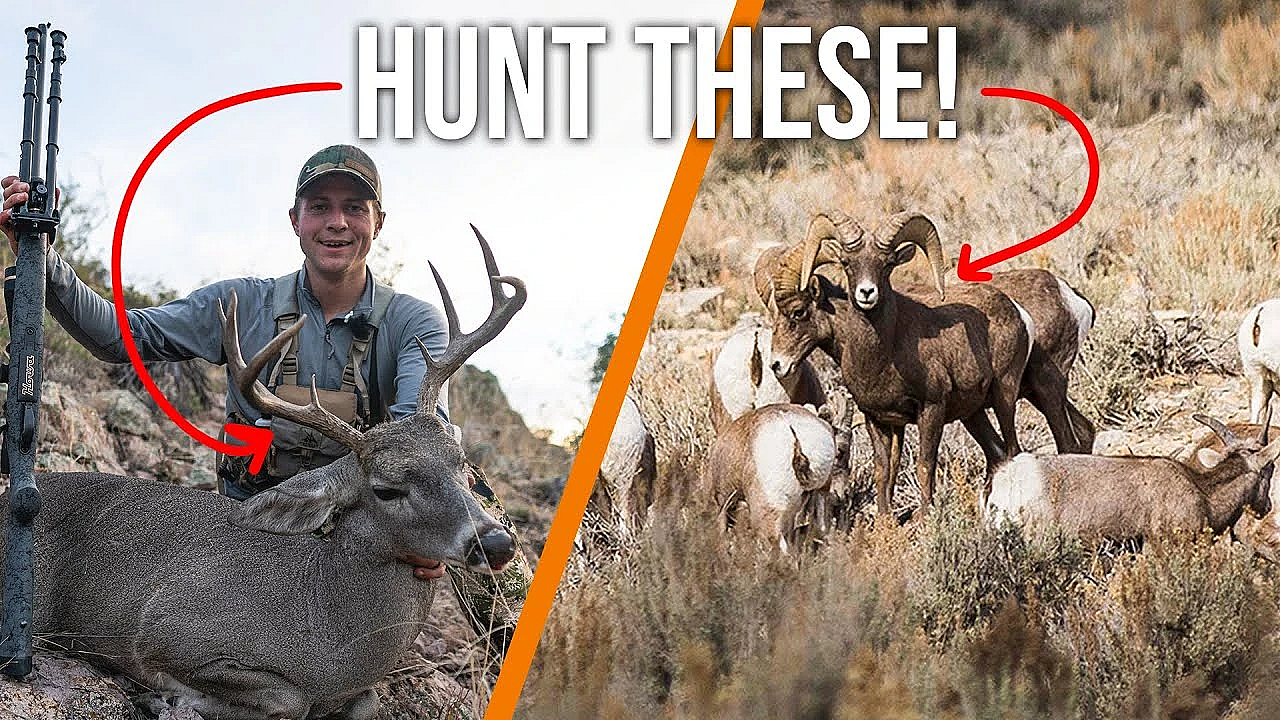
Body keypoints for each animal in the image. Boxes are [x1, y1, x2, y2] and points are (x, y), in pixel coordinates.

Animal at [767, 211, 1031, 516]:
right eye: (846, 263)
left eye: (887, 264)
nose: (866, 293)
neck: (881, 359)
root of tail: (1018, 312)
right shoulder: (879, 419)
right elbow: (885, 470)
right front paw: (884, 518)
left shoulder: (931, 410)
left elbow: (924, 466)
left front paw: (926, 516)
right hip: (973, 414)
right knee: (996, 453)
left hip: (1003, 396)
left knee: (1012, 449)